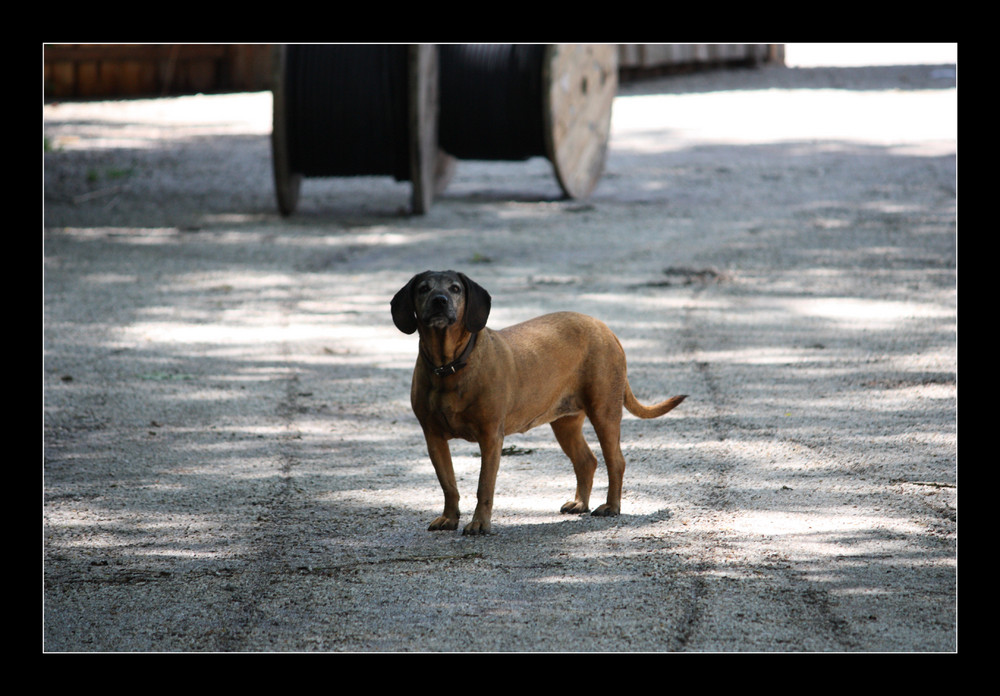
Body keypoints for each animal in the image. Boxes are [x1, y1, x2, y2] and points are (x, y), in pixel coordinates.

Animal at [392, 270, 688, 536]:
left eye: (455, 288)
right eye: (423, 288)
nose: (439, 300)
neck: (449, 367)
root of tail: (604, 328)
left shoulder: (490, 437)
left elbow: (484, 486)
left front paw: (479, 524)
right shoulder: (433, 438)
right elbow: (448, 484)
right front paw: (449, 518)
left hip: (604, 413)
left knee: (616, 461)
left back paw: (612, 507)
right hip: (565, 424)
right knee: (587, 461)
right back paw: (580, 503)